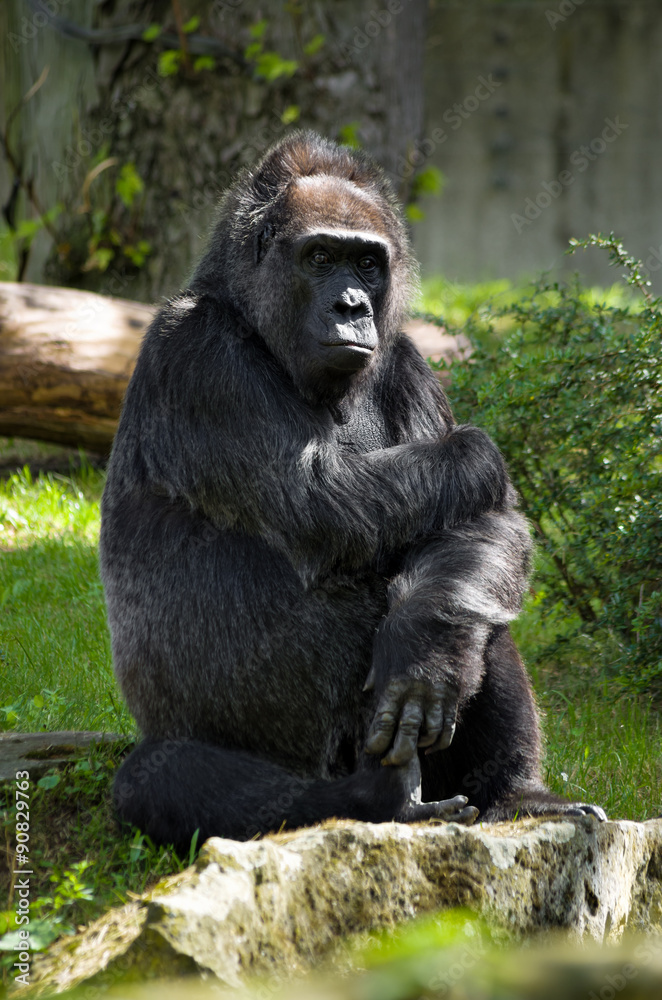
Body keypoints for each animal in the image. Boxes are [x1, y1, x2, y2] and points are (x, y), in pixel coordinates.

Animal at [100, 131, 606, 853]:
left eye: (367, 264)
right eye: (320, 258)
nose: (352, 307)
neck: (248, 314)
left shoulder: (410, 362)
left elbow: (485, 531)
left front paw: (429, 640)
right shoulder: (198, 353)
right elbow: (321, 499)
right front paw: (479, 452)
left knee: (476, 604)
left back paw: (516, 794)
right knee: (157, 773)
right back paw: (366, 799)